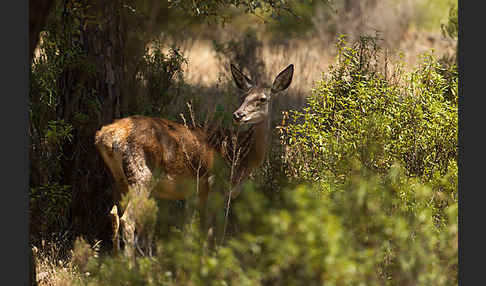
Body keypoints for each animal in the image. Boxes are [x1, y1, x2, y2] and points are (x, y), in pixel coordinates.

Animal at [94, 63, 292, 256]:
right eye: (244, 96)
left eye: (263, 99)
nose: (238, 114)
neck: (242, 155)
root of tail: (106, 136)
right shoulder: (216, 186)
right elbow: (213, 230)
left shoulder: (195, 193)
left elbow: (190, 229)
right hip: (142, 176)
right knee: (127, 220)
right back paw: (130, 262)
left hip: (118, 178)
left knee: (114, 214)